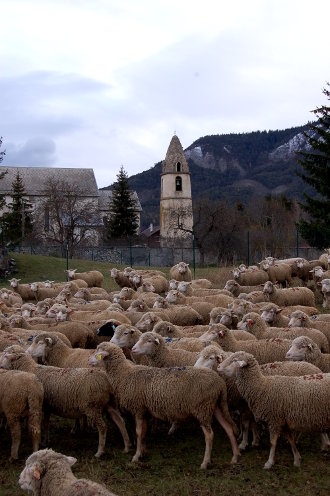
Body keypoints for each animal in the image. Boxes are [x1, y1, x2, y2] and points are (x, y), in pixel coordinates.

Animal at [3, 344, 131, 458]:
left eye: (5, 355)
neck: (30, 369)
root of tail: (106, 380)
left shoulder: (42, 407)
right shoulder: (47, 406)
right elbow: (46, 424)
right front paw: (45, 441)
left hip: (93, 407)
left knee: (103, 427)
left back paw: (99, 452)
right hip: (110, 404)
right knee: (120, 421)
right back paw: (127, 446)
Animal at [89, 340, 241, 468]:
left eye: (98, 353)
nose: (89, 360)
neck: (123, 374)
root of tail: (220, 383)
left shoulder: (138, 408)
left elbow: (138, 432)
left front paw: (136, 456)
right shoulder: (145, 410)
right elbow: (144, 432)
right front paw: (143, 451)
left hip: (202, 409)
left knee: (209, 435)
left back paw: (205, 462)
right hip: (215, 406)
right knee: (228, 428)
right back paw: (235, 457)